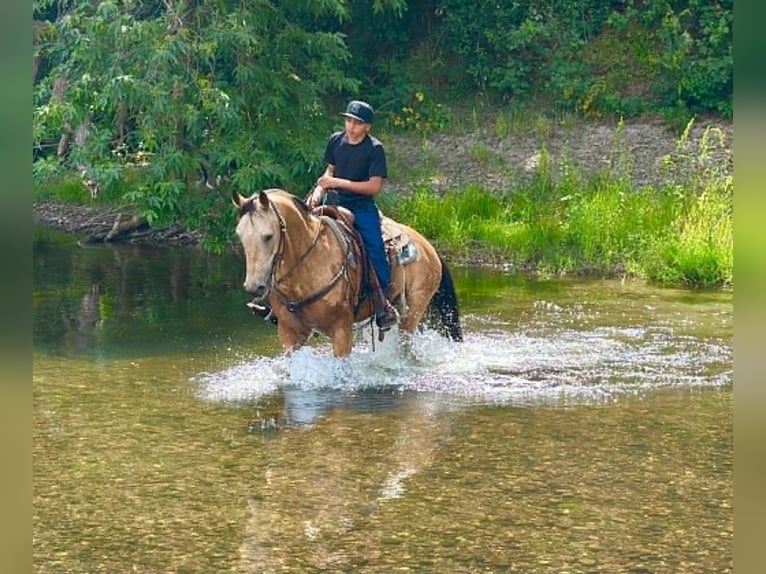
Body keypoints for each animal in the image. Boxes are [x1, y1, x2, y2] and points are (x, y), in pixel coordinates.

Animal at [232, 188, 462, 357]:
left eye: (268, 236)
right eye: (240, 235)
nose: (254, 286)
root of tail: (428, 248)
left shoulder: (341, 329)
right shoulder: (289, 333)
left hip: (413, 312)